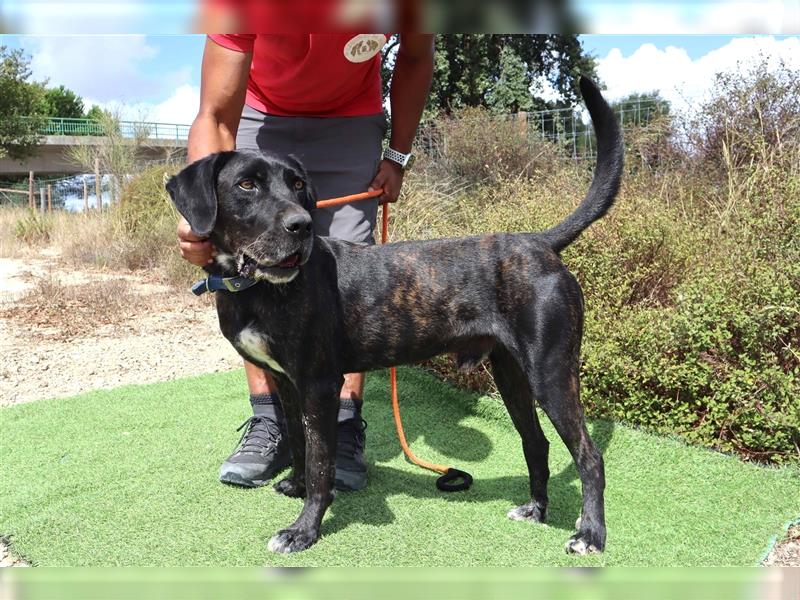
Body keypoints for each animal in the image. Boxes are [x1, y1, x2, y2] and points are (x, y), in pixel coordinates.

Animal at [166, 77, 620, 556]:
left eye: (298, 184)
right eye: (247, 185)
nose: (302, 225)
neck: (258, 288)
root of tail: (541, 242)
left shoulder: (319, 384)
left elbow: (321, 459)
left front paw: (304, 529)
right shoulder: (284, 382)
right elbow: (299, 443)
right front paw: (295, 485)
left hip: (550, 372)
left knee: (589, 455)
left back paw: (590, 535)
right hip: (511, 373)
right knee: (536, 442)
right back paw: (535, 509)